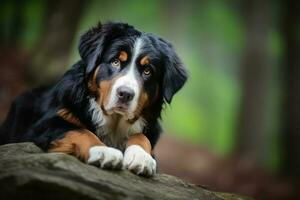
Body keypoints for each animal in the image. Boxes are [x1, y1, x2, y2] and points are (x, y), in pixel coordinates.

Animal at [0, 21, 188, 177]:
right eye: (115, 62)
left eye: (147, 71)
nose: (125, 94)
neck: (114, 122)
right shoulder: (43, 124)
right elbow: (79, 130)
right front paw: (103, 151)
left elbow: (141, 136)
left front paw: (141, 157)